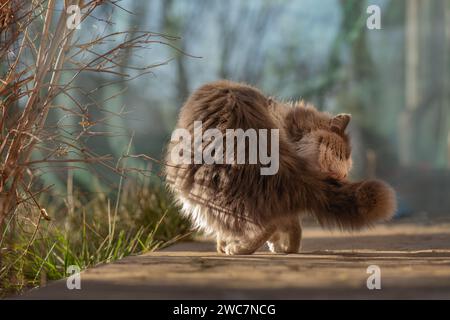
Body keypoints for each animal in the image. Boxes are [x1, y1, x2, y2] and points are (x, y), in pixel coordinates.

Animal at [163, 79, 396, 255]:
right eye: (340, 155)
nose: (343, 175)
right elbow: (289, 225)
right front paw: (284, 246)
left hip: (201, 190)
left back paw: (238, 248)